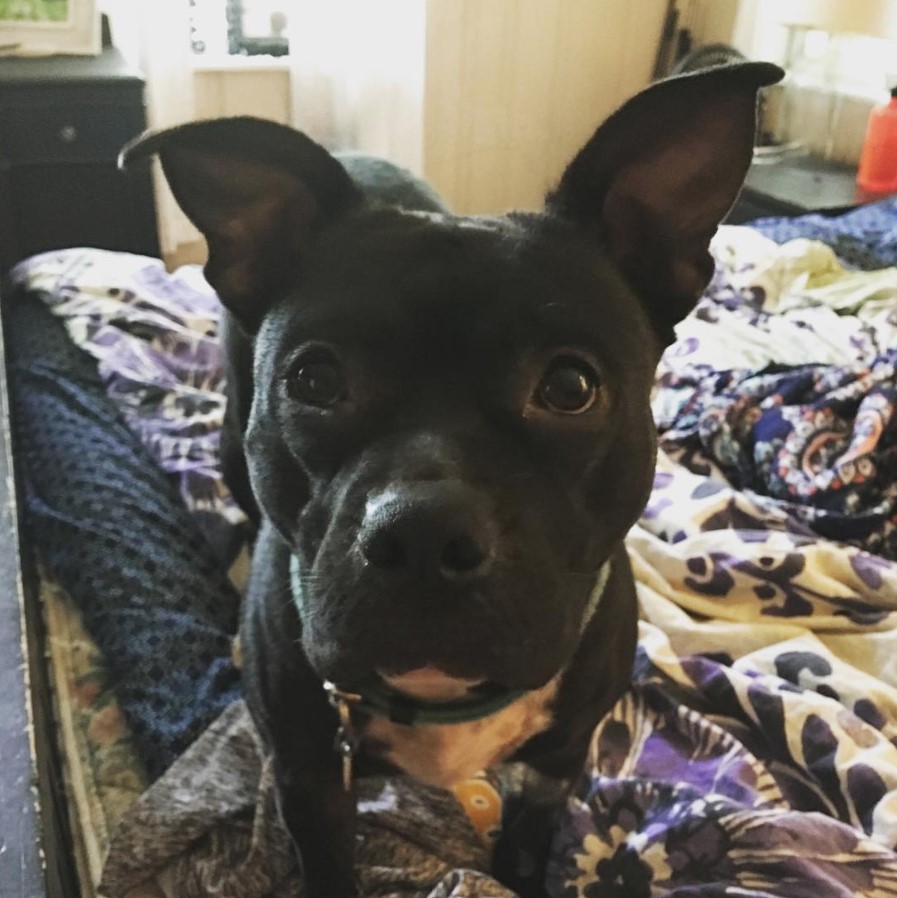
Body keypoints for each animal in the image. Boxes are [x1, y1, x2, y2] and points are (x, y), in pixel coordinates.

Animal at [122, 59, 780, 892]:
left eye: (570, 386)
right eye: (314, 380)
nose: (421, 534)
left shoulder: (553, 771)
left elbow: (525, 851)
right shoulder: (311, 784)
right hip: (232, 451)